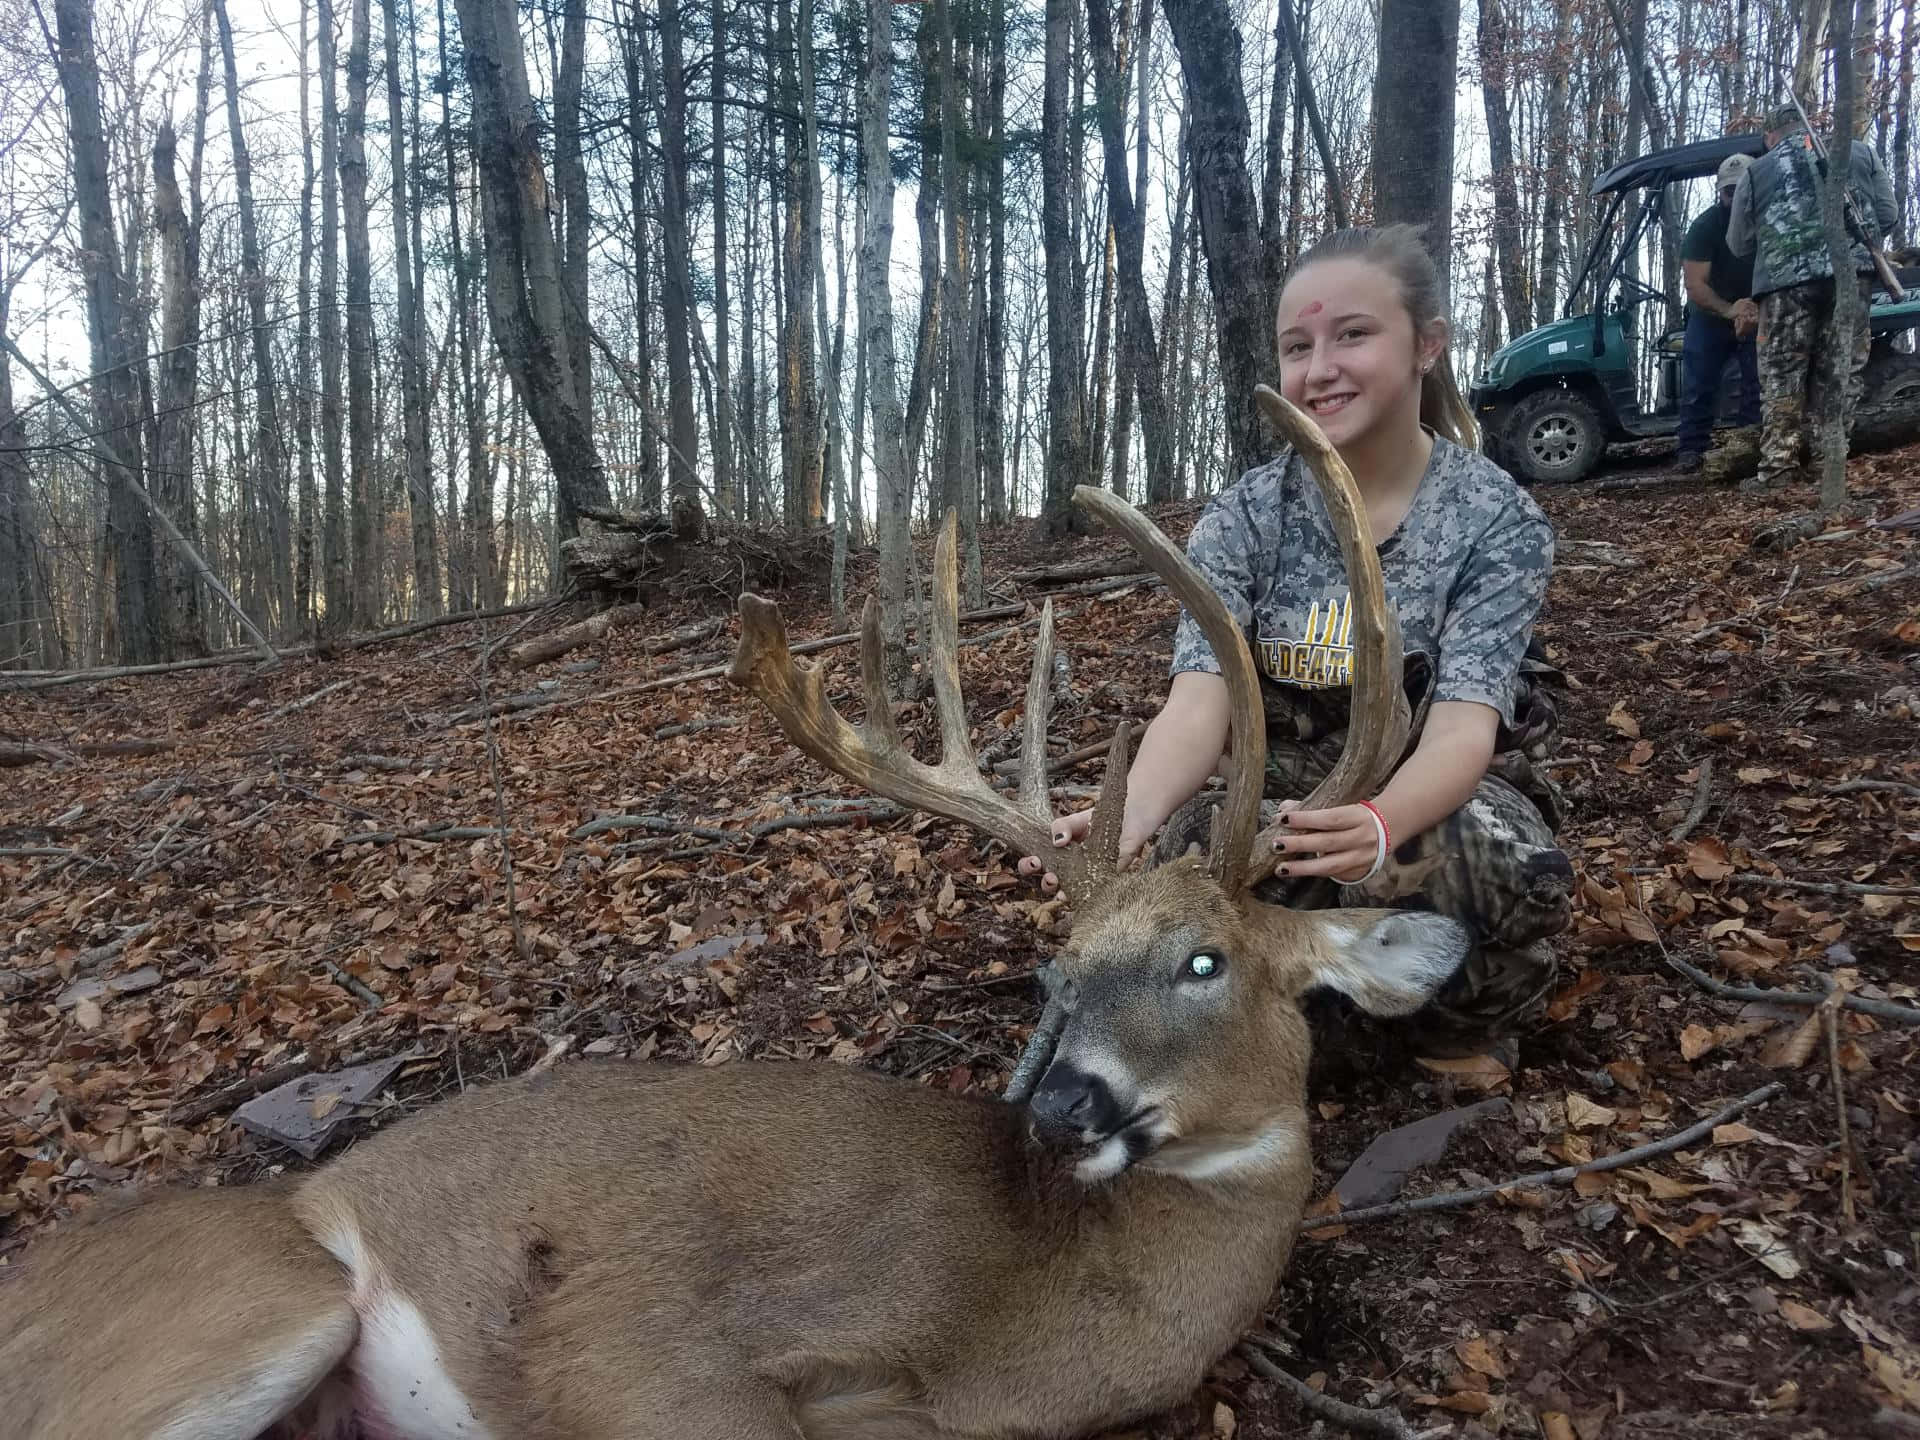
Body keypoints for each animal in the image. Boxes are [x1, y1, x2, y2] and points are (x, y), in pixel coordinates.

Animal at [0, 388, 1466, 1440]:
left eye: (1206, 959)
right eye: (1059, 970)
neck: (1016, 1331)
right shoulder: (644, 1341)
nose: (1060, 1107)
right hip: (253, 1311)